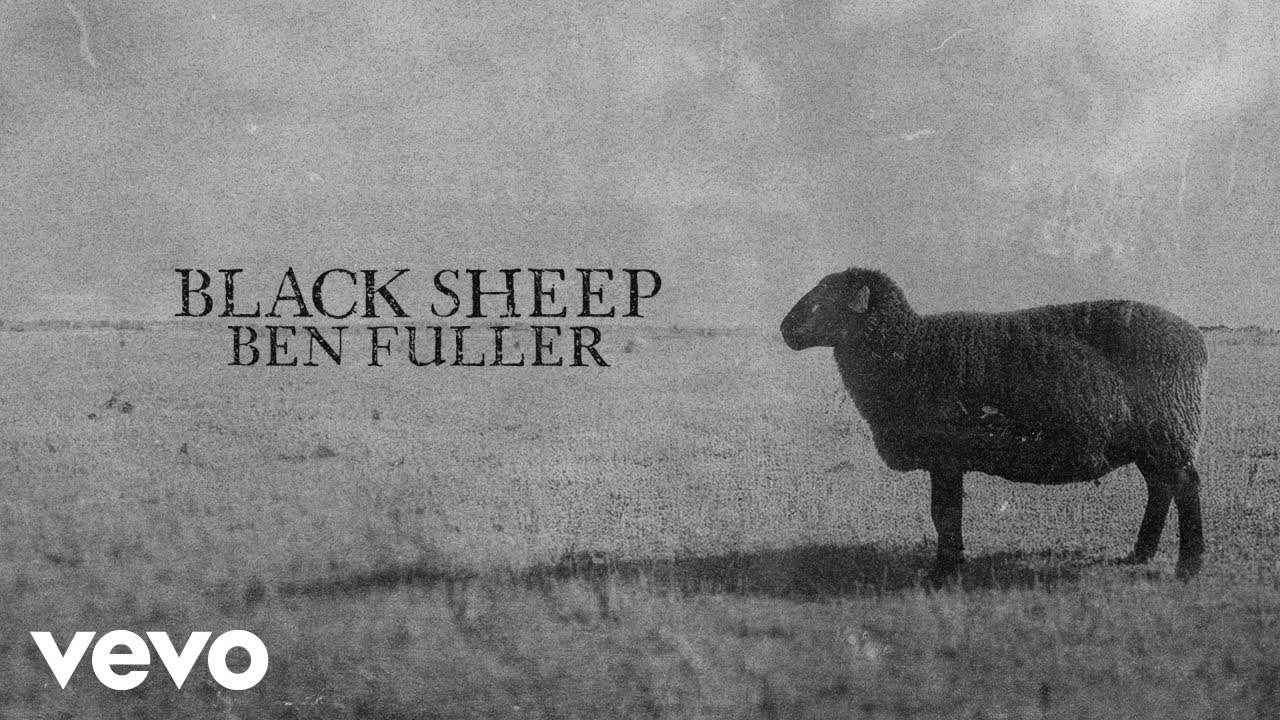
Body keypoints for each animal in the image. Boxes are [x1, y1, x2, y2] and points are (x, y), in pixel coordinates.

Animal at [780, 268, 1208, 580]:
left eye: (829, 297)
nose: (785, 329)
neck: (908, 350)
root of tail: (1195, 339)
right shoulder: (946, 459)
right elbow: (945, 513)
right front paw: (950, 564)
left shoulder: (946, 455)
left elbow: (944, 512)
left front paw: (943, 571)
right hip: (1153, 440)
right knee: (1160, 488)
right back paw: (1140, 553)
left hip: (1168, 429)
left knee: (1185, 487)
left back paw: (1188, 565)